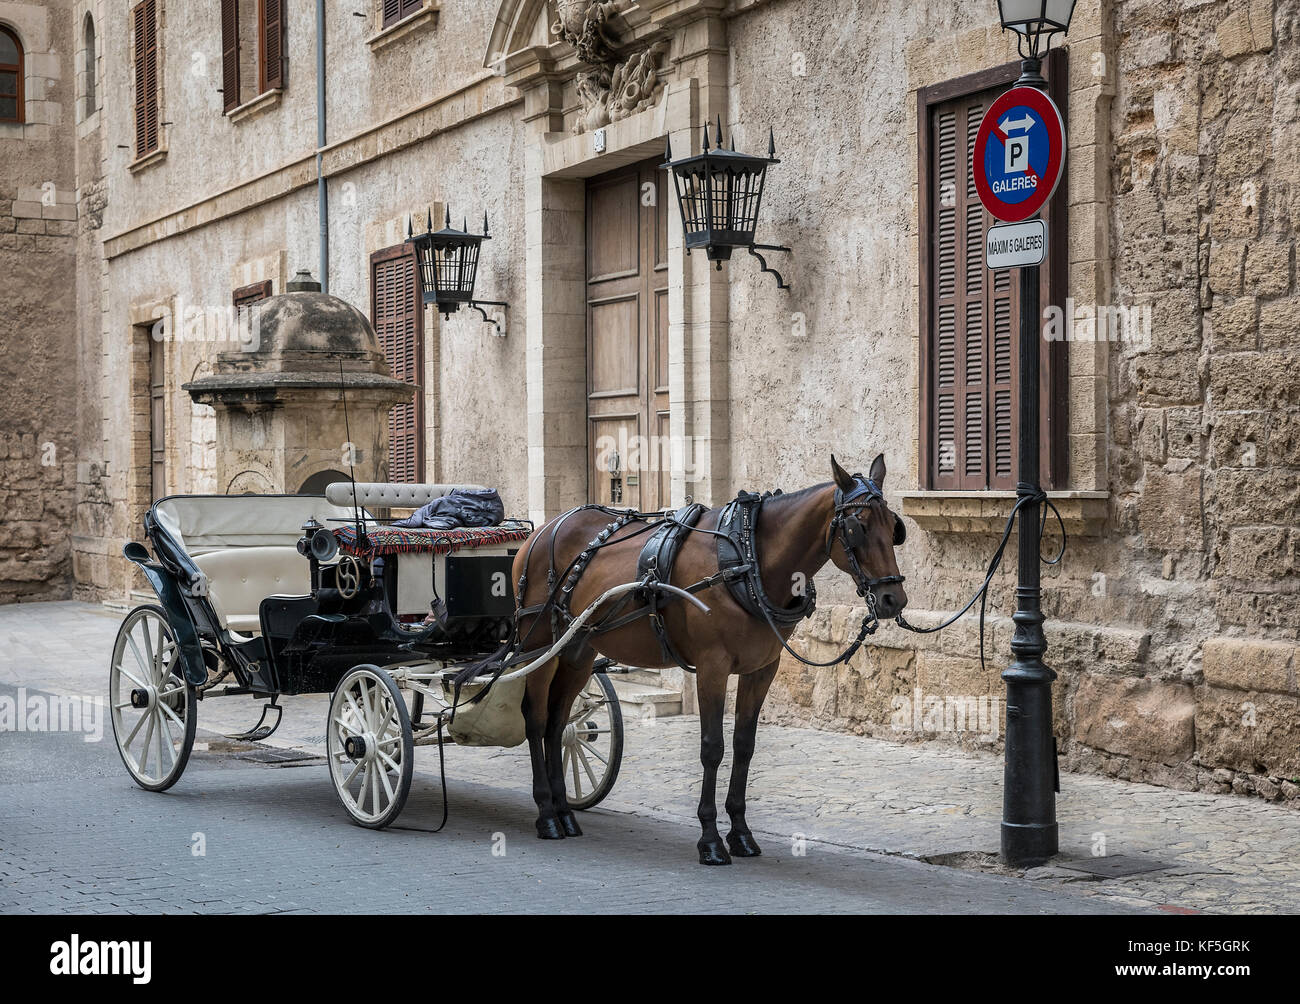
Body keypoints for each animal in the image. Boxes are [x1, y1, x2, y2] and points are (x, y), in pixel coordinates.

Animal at [506, 455, 904, 863]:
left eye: (893, 526)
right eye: (857, 527)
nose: (894, 599)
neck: (747, 560)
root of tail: (542, 531)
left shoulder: (762, 669)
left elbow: (744, 745)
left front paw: (741, 833)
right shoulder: (712, 667)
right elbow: (713, 747)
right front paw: (710, 838)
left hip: (577, 651)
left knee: (559, 725)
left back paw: (564, 813)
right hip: (539, 643)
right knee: (536, 721)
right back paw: (546, 814)